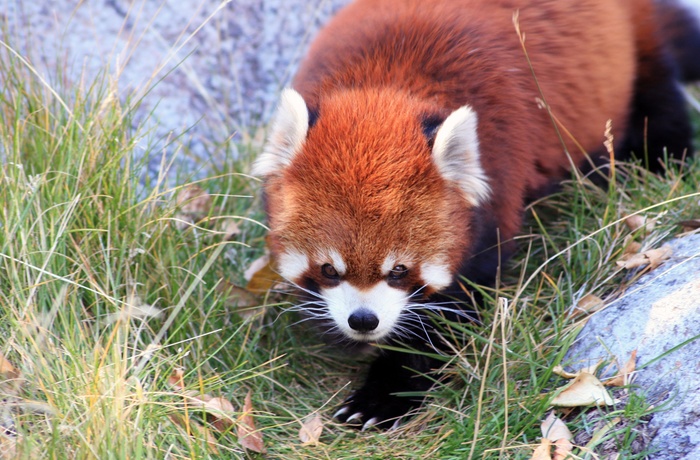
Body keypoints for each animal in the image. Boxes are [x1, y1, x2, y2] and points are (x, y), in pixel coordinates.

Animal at [252, 0, 700, 432]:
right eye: (329, 269)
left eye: (399, 270)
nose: (363, 320)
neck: (387, 84)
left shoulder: (498, 186)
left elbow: (445, 320)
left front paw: (383, 395)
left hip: (635, 58)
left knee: (658, 106)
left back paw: (658, 163)